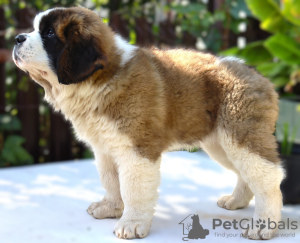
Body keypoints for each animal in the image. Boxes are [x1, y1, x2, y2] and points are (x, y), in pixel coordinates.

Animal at [12, 6, 284, 240]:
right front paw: (111, 208)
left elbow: (133, 189)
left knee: (268, 178)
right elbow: (111, 181)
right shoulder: (105, 149)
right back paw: (237, 201)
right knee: (247, 174)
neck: (102, 79)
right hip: (220, 144)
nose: (16, 38)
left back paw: (264, 225)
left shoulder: (137, 151)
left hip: (240, 137)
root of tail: (258, 75)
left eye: (48, 33)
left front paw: (131, 224)